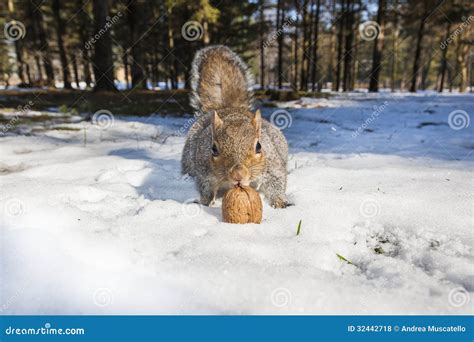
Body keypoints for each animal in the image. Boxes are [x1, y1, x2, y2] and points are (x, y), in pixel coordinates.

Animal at [181, 45, 290, 208]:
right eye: (213, 149)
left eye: (259, 146)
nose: (238, 174)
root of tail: (227, 107)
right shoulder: (204, 170)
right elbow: (205, 187)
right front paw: (205, 202)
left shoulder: (272, 165)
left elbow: (276, 181)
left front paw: (280, 202)